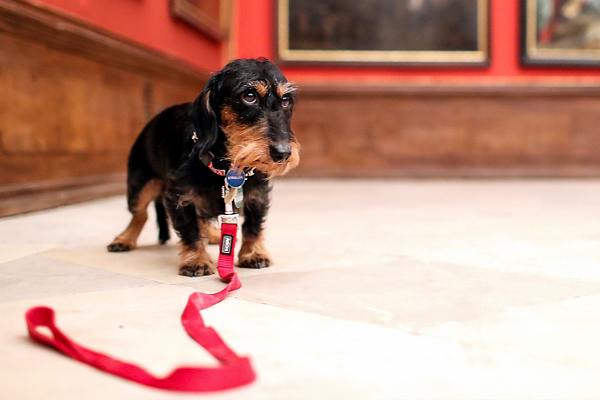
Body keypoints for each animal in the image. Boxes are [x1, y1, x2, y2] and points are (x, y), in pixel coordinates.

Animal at [108, 58, 300, 276]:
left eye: (285, 100)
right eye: (249, 96)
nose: (283, 153)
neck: (226, 168)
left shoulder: (257, 196)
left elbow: (253, 226)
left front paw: (253, 253)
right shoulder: (179, 198)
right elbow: (190, 231)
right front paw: (195, 260)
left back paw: (214, 234)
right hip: (139, 186)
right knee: (140, 214)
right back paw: (125, 239)